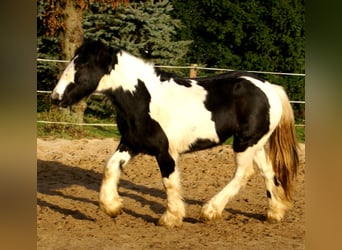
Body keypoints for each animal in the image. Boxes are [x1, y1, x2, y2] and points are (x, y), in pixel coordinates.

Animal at [51, 39, 300, 229]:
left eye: (83, 64)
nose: (56, 97)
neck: (143, 99)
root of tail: (270, 87)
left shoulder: (165, 152)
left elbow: (169, 183)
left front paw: (171, 218)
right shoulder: (131, 143)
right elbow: (110, 166)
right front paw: (112, 207)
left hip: (245, 143)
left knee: (244, 173)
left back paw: (210, 211)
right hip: (254, 143)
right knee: (268, 172)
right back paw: (274, 213)